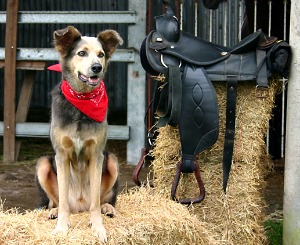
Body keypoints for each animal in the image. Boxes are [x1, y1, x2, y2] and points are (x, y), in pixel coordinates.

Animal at [35, 25, 123, 242]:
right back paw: (54, 211)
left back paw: (107, 208)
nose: (97, 67)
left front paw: (98, 228)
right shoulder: (61, 155)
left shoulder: (97, 154)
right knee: (57, 201)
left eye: (101, 55)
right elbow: (63, 201)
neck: (82, 101)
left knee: (103, 199)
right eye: (81, 53)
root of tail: (79, 207)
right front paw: (61, 228)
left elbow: (95, 203)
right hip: (43, 164)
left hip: (112, 160)